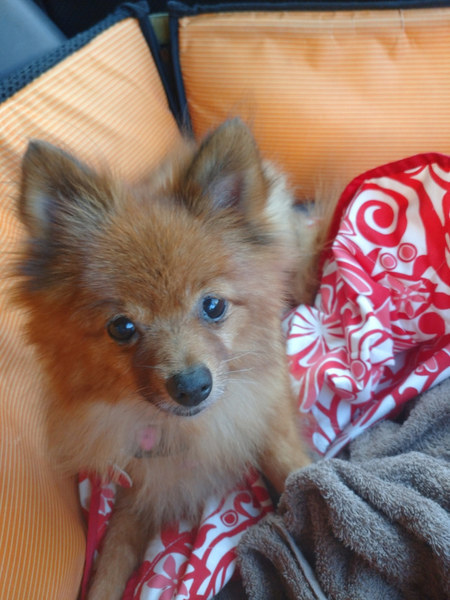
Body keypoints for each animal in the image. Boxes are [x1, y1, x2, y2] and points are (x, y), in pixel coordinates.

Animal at [16, 119, 322, 599]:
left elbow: (290, 466)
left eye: (213, 306)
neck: (182, 429)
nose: (192, 386)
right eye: (122, 328)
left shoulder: (264, 407)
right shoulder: (137, 480)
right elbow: (114, 553)